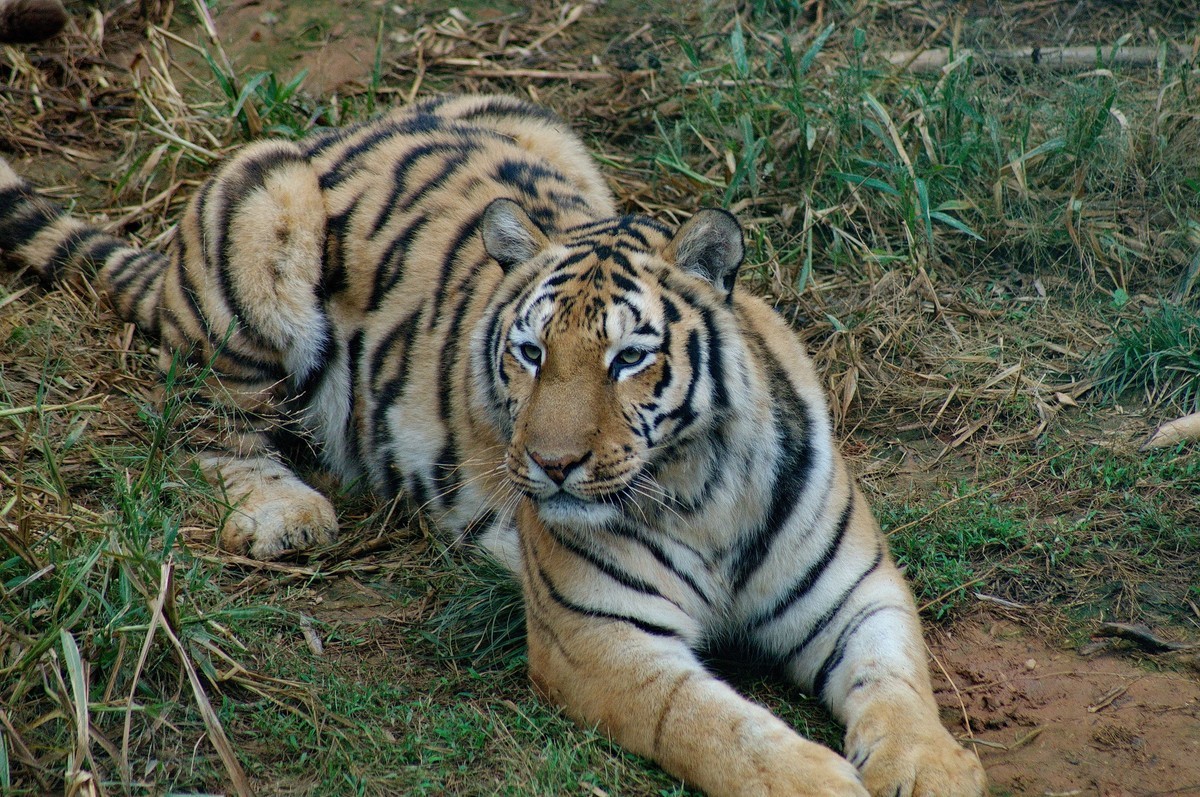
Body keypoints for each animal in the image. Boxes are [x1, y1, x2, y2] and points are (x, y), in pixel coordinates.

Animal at [0, 94, 988, 797]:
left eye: (630, 358)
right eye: (530, 351)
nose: (550, 465)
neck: (698, 484)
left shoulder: (857, 593)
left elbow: (901, 685)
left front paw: (934, 768)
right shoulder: (601, 636)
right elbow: (715, 725)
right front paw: (815, 779)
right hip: (261, 214)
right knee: (197, 418)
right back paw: (286, 510)